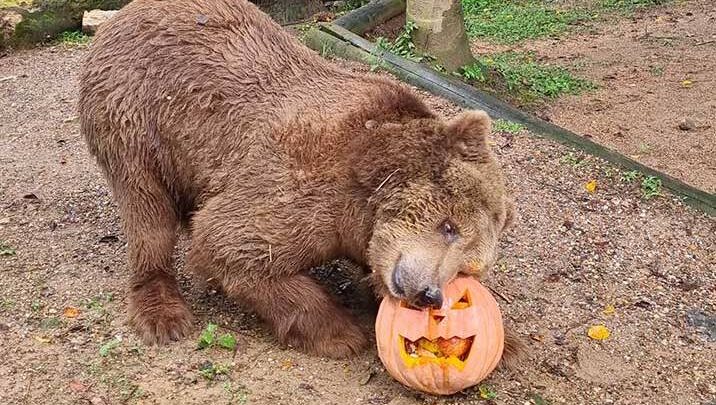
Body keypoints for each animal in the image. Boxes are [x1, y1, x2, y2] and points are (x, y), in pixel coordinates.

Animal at [77, 0, 516, 360]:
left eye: (468, 268)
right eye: (449, 226)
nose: (428, 294)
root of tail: (123, 14)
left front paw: (508, 344)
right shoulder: (308, 183)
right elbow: (230, 241)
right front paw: (342, 333)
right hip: (135, 116)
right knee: (148, 213)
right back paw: (162, 311)